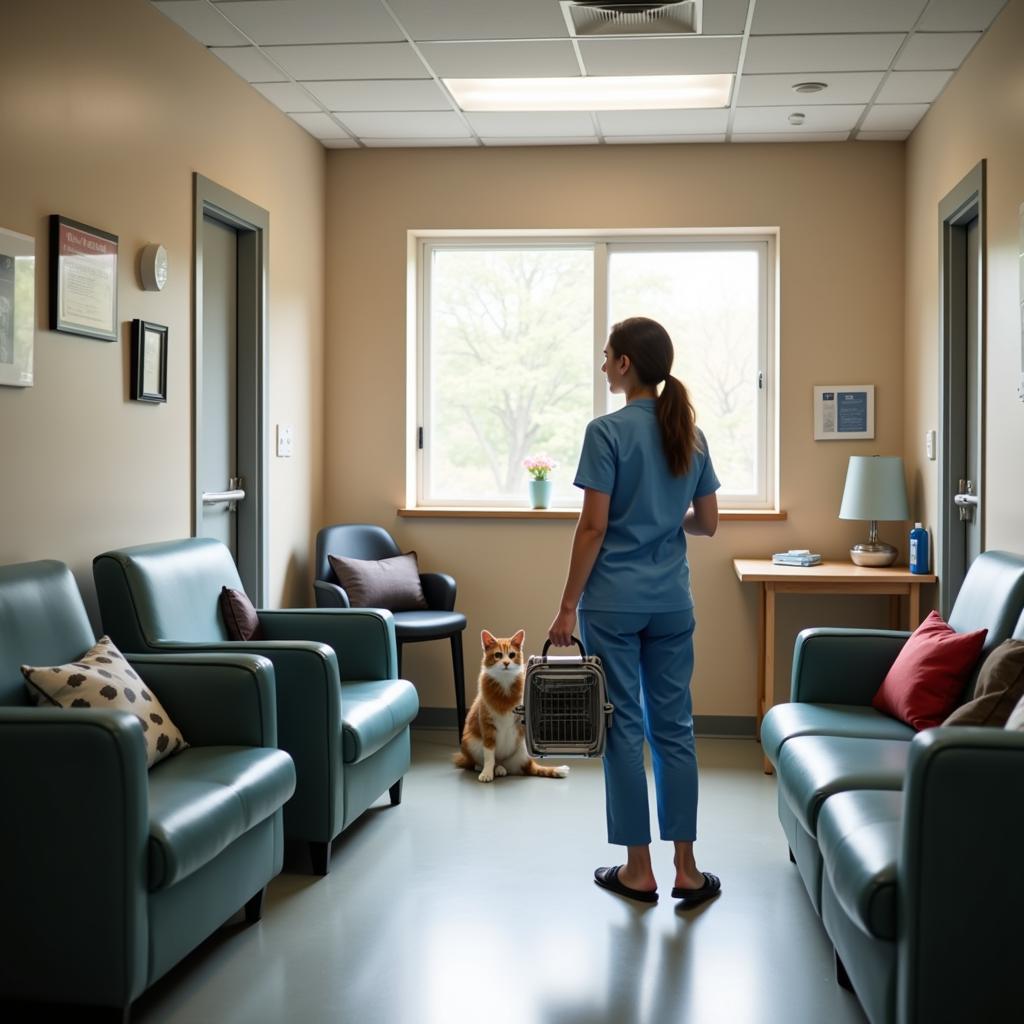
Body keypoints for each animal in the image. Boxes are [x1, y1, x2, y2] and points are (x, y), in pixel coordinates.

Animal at [454, 622, 569, 782]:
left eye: (512, 655)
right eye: (498, 655)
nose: (506, 663)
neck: (504, 683)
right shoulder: (487, 727)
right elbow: (489, 755)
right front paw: (487, 773)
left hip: (523, 751)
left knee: (528, 767)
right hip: (468, 741)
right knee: (478, 762)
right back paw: (489, 768)